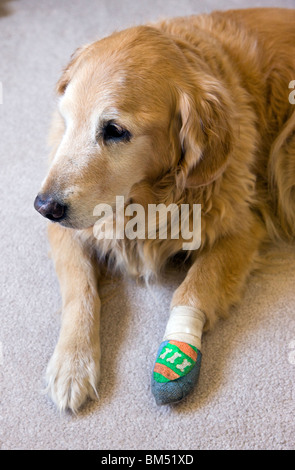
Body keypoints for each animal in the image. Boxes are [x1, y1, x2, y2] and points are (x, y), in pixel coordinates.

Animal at [33, 6, 294, 412]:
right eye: (66, 118)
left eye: (115, 130)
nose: (44, 206)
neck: (145, 201)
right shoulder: (66, 231)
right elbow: (80, 287)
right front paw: (72, 363)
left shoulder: (242, 228)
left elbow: (192, 289)